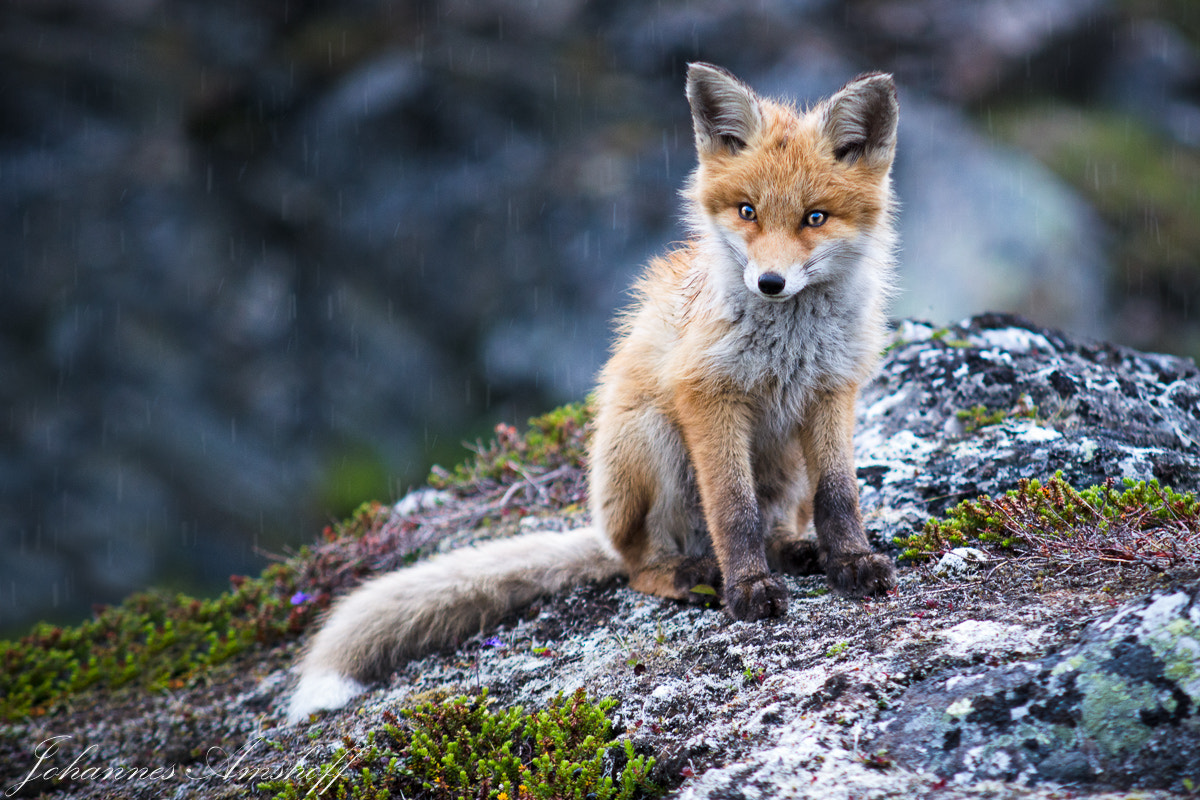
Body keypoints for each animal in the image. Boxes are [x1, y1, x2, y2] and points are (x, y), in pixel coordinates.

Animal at [285, 64, 897, 724]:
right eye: (747, 211)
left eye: (815, 217)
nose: (770, 283)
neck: (788, 343)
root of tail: (606, 532)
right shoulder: (708, 394)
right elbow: (734, 511)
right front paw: (748, 590)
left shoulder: (833, 389)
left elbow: (839, 496)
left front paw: (852, 562)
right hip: (651, 438)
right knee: (640, 569)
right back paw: (693, 575)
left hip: (784, 469)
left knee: (774, 523)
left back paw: (792, 551)